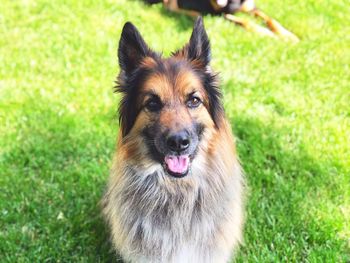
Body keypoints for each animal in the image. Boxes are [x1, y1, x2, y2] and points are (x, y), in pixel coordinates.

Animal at [144, 0, 300, 42]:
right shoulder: (219, 14)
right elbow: (246, 22)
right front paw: (265, 33)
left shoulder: (250, 6)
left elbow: (270, 19)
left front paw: (288, 36)